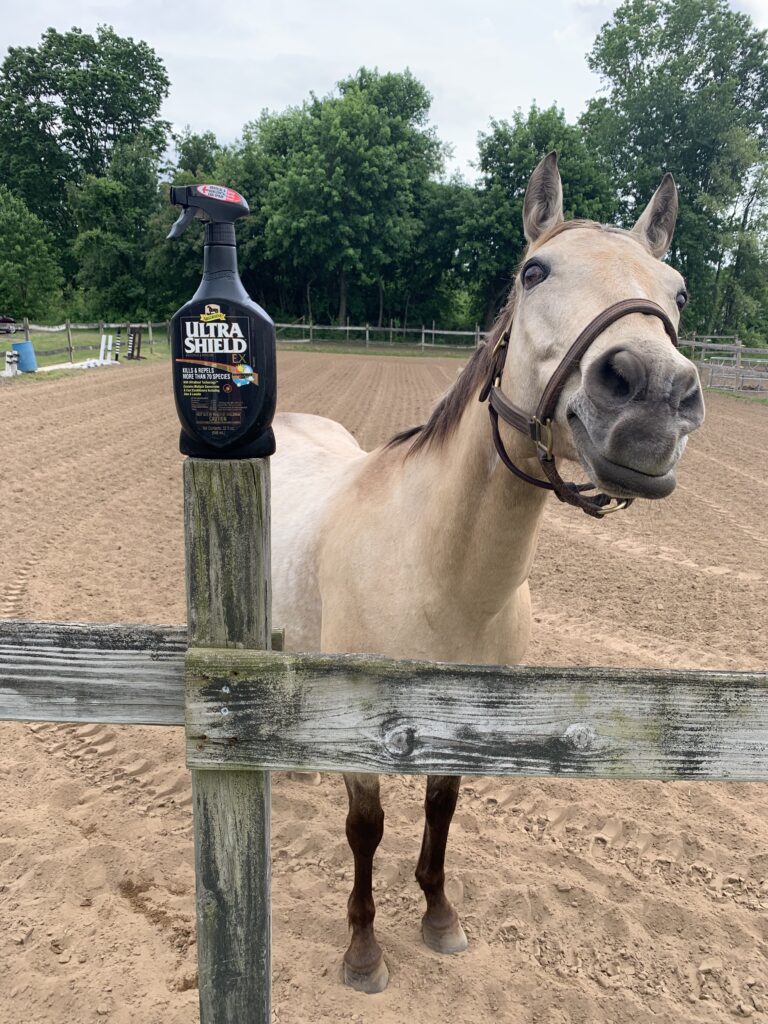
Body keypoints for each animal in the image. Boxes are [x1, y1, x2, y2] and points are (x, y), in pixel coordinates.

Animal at [270, 152, 705, 994]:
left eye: (677, 292)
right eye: (534, 271)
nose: (652, 397)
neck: (437, 576)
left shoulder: (468, 721)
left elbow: (442, 808)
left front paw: (440, 918)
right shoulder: (366, 738)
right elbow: (366, 829)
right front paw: (363, 950)